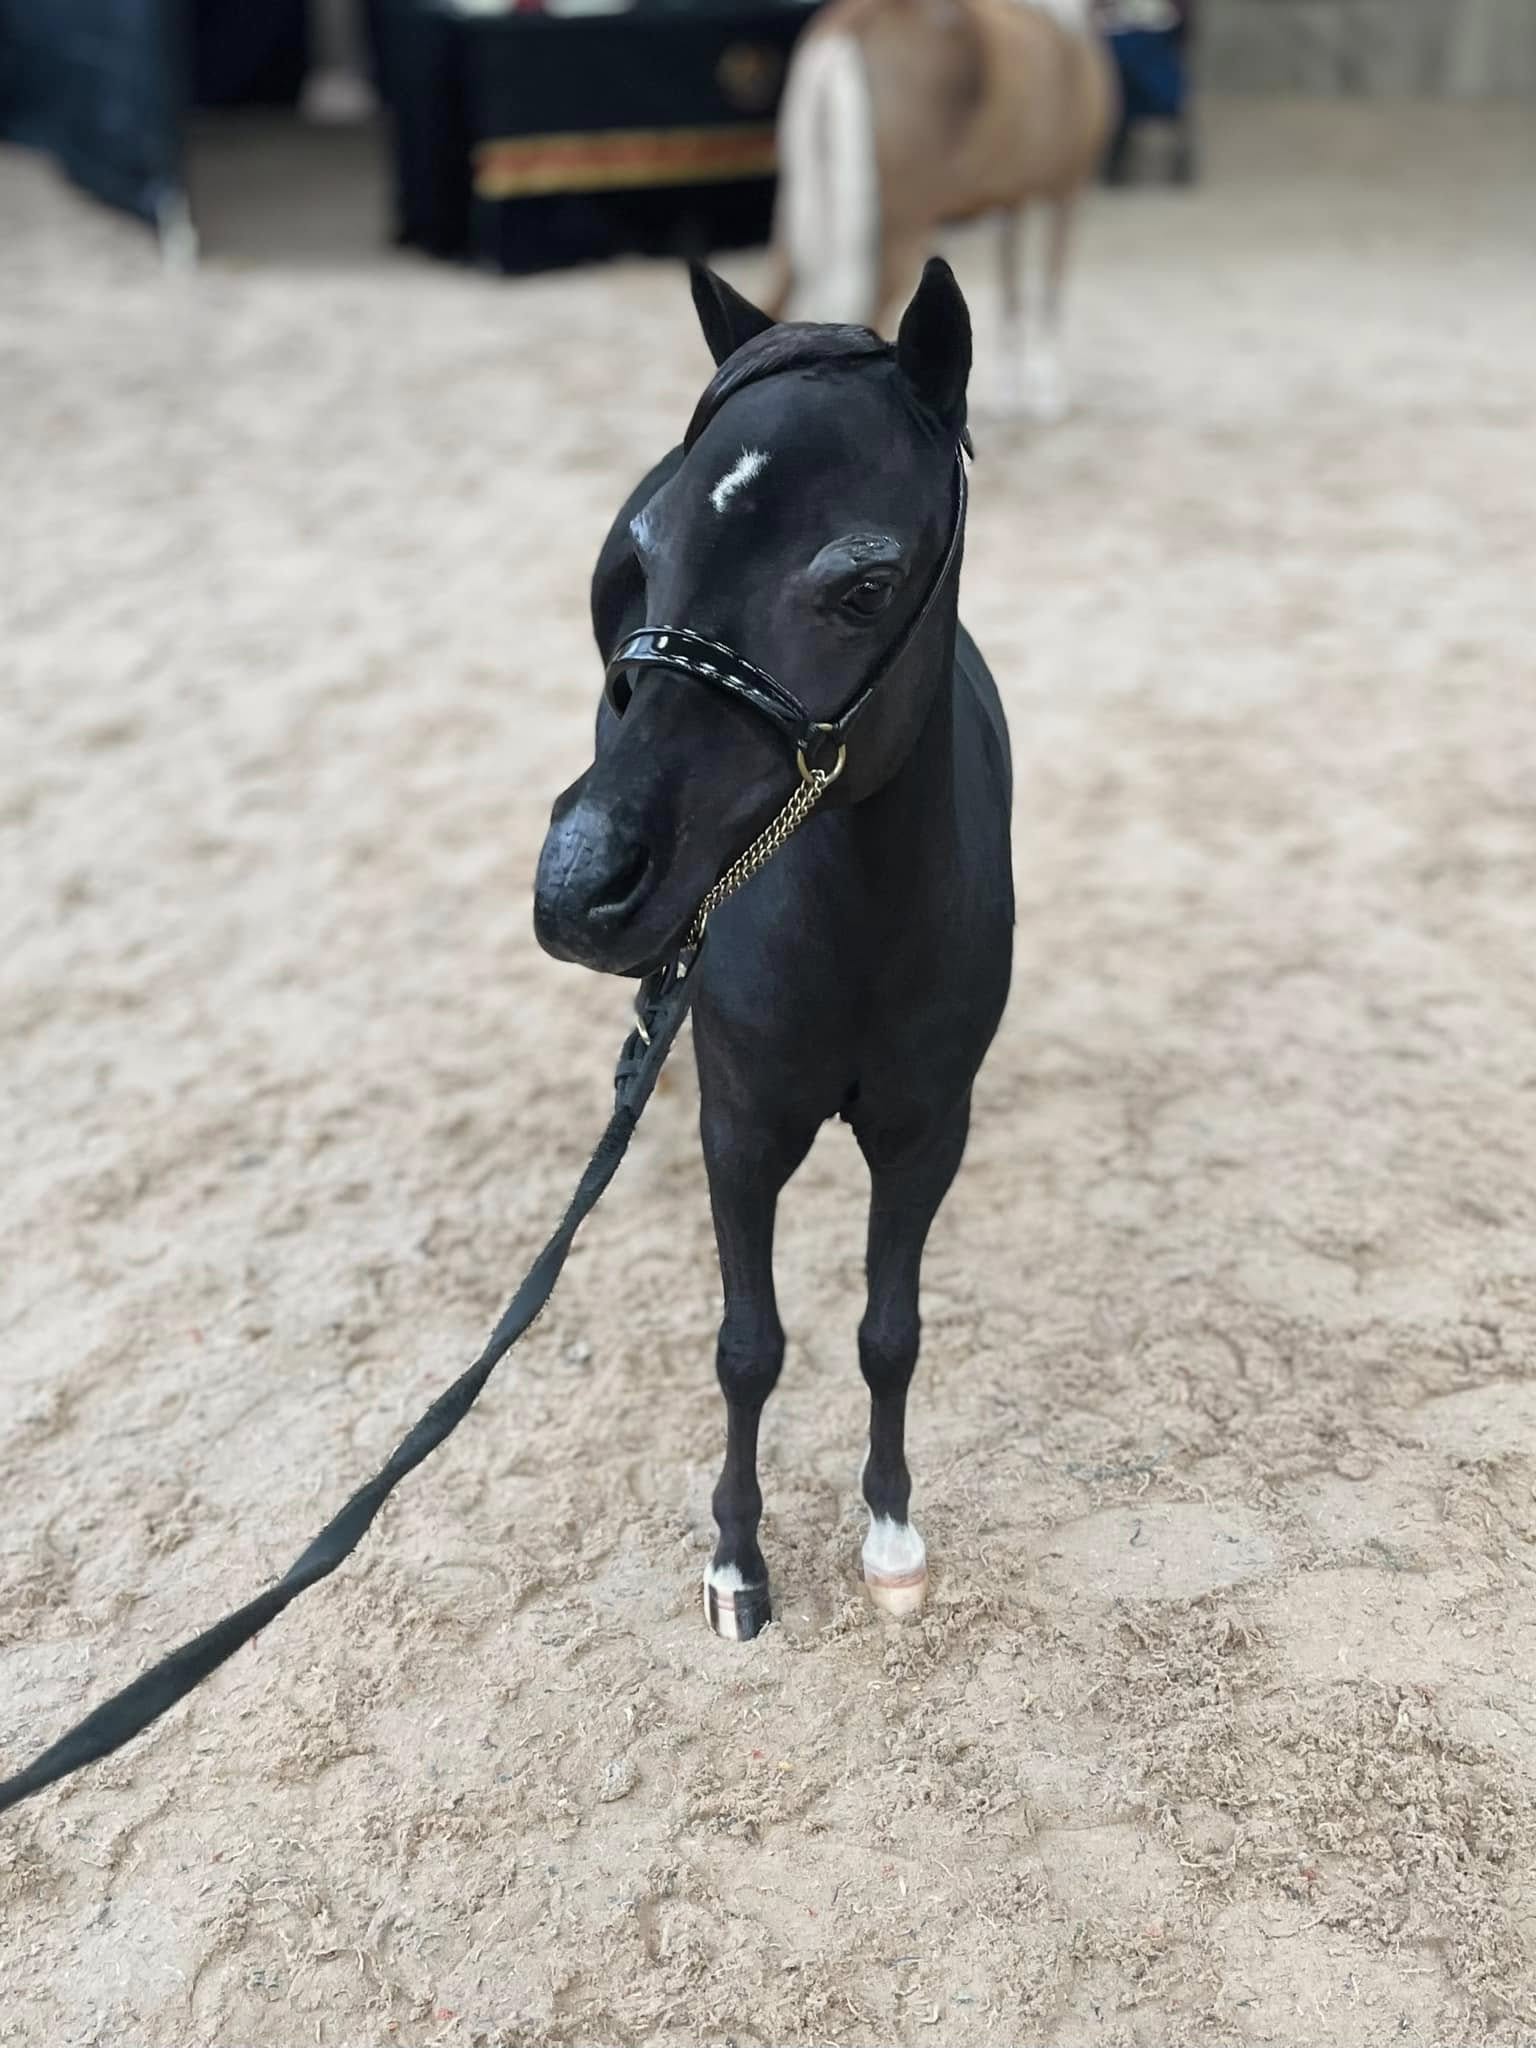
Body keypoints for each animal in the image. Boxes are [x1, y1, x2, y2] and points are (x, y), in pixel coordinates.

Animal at [533, 259, 1014, 1639]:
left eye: (863, 585)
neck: (859, 920)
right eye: (648, 556)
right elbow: (748, 1347)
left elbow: (889, 1329)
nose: (582, 882)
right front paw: (736, 1562)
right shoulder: (741, 1126)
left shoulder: (926, 1126)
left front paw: (892, 1534)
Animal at [764, 0, 1117, 420]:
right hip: (897, 231)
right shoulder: (1064, 193)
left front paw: (1010, 394)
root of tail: (860, 17)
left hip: (800, 223)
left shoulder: (1009, 204)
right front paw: (1047, 395)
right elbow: (1050, 290)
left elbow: (1011, 296)